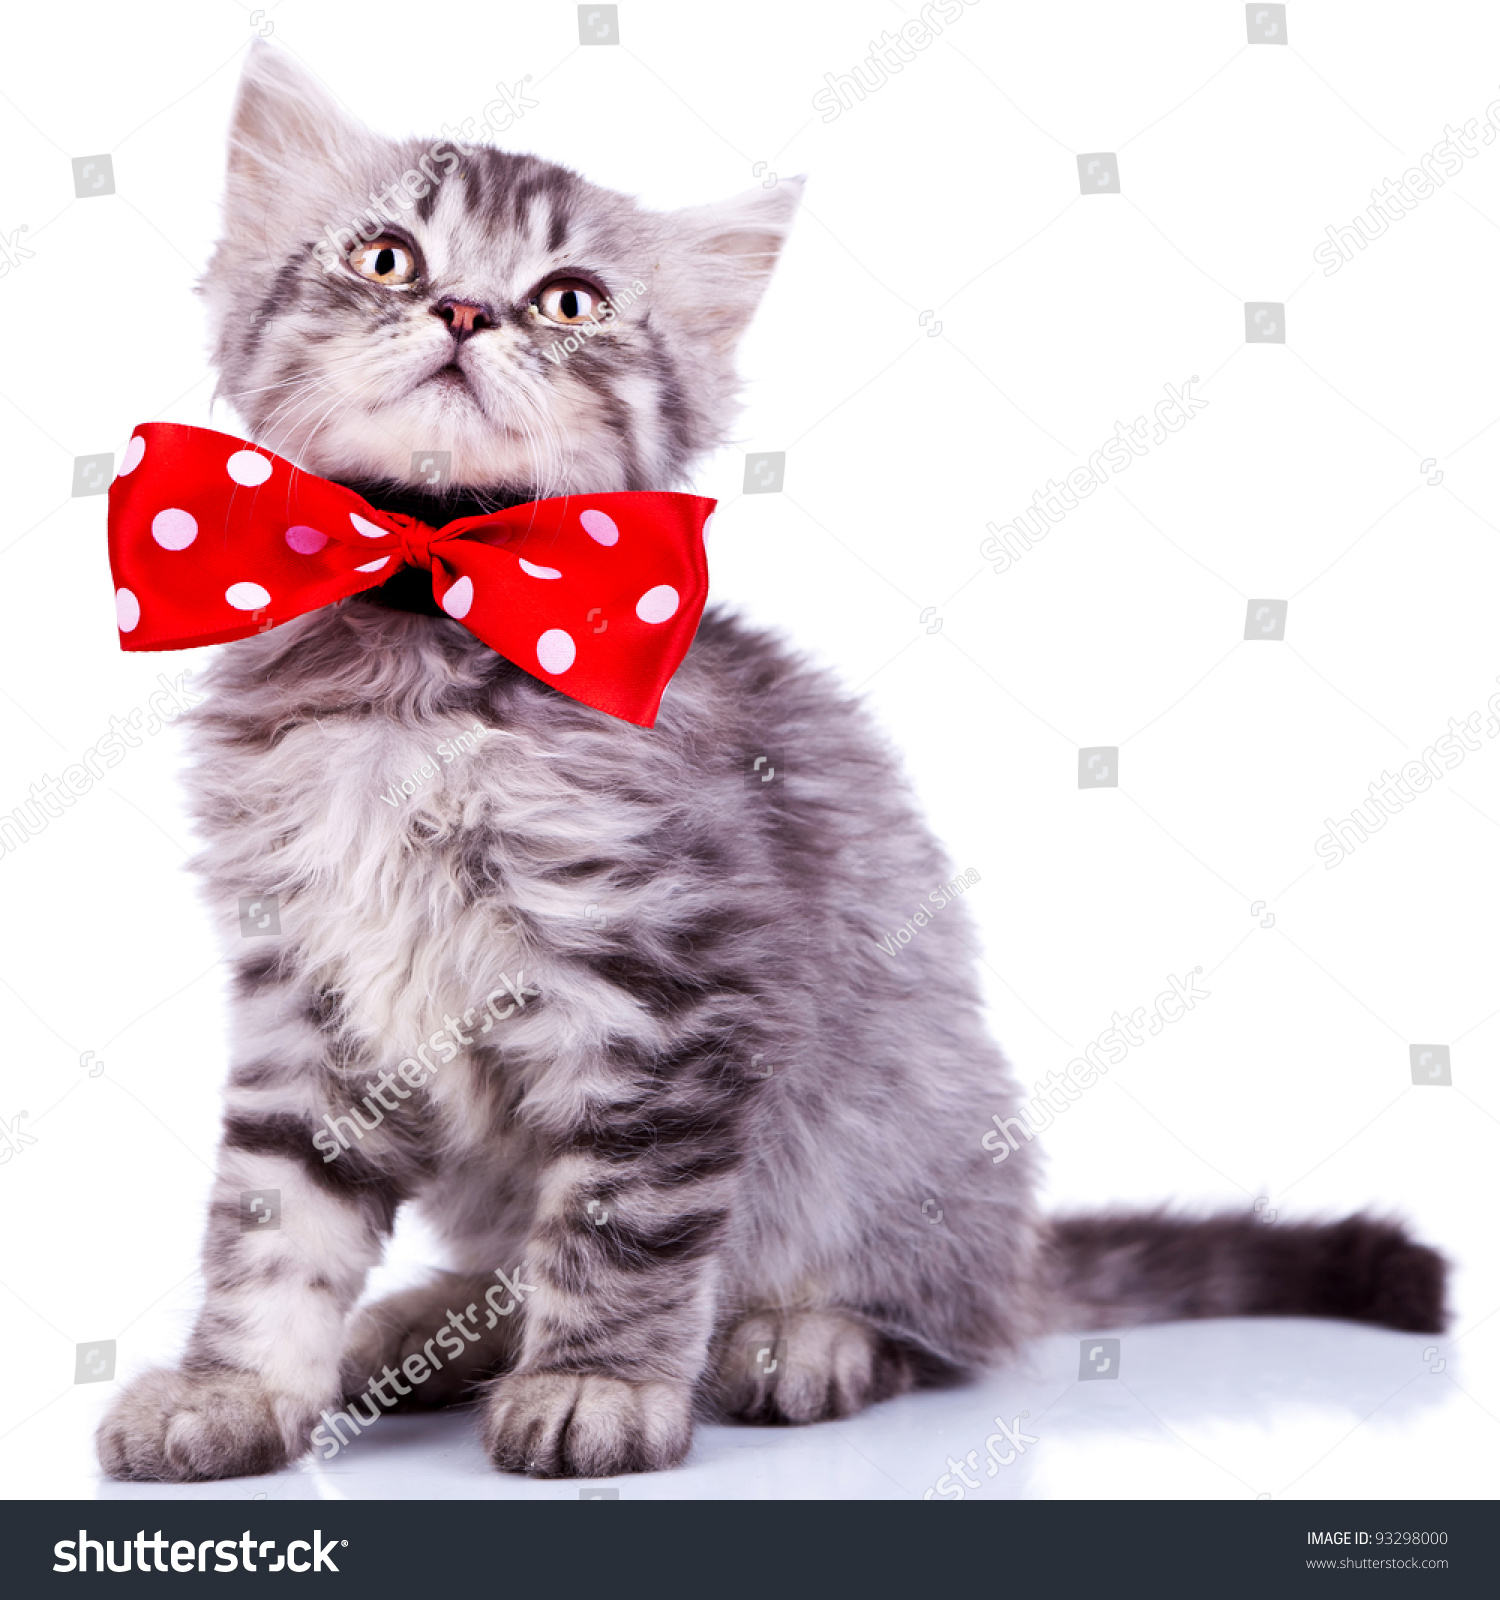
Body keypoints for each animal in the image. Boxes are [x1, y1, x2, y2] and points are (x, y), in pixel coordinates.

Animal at [93, 43, 1439, 1478]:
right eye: (389, 256)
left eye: (569, 300)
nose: (464, 311)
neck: (424, 625)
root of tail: (1014, 1253)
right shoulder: (305, 988)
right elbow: (273, 1214)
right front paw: (234, 1388)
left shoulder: (662, 984)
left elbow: (621, 1218)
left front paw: (599, 1384)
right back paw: (420, 1329)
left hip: (901, 1133)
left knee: (936, 1327)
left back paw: (801, 1339)